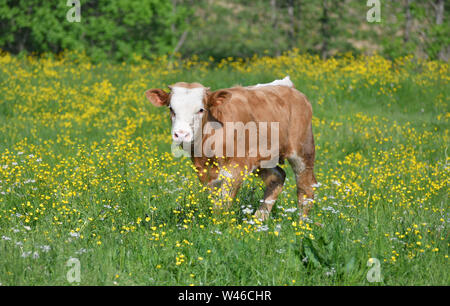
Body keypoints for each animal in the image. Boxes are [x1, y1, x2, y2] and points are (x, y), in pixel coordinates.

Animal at [144, 76, 316, 220]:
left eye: (201, 109)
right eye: (171, 109)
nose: (181, 134)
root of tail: (287, 86)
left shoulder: (235, 168)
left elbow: (223, 202)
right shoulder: (206, 172)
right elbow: (215, 200)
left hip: (303, 151)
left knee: (306, 187)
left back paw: (301, 225)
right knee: (277, 176)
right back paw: (259, 220)